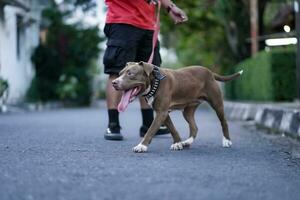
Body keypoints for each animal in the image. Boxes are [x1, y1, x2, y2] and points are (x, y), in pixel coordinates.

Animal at [111, 61, 243, 152]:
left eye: (130, 73)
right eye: (119, 73)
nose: (114, 82)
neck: (155, 82)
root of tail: (210, 72)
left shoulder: (162, 112)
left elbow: (151, 130)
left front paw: (141, 146)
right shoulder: (163, 113)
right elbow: (172, 128)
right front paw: (178, 143)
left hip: (217, 104)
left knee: (223, 121)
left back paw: (227, 141)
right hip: (188, 111)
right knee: (194, 127)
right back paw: (187, 142)